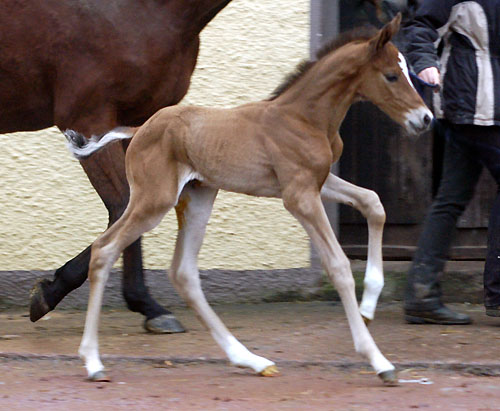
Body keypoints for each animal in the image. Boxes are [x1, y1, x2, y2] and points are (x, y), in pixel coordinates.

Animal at [65, 13, 434, 386]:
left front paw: (369, 303)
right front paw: (378, 359)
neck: (305, 117)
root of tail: (138, 130)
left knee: (183, 273)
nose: (425, 119)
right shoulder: (299, 196)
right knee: (105, 249)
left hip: (198, 197)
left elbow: (373, 203)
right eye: (391, 75)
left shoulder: (318, 181)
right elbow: (339, 266)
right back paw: (92, 361)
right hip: (153, 200)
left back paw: (250, 360)